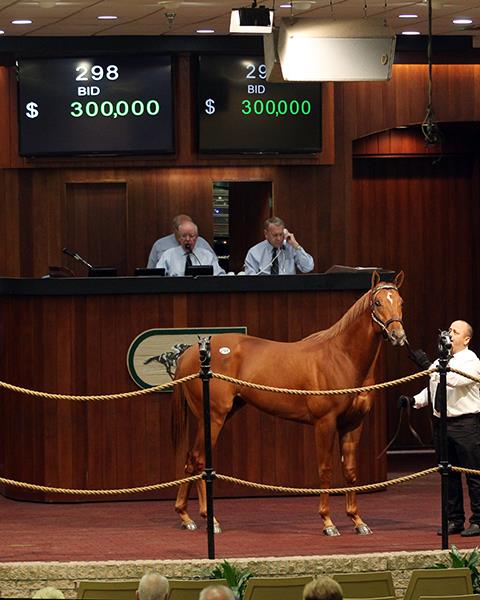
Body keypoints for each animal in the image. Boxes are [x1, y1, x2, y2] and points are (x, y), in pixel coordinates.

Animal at [172, 272, 404, 536]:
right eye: (377, 302)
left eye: (400, 302)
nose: (398, 335)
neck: (341, 357)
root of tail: (190, 353)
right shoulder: (325, 424)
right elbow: (325, 470)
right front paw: (328, 522)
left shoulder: (353, 425)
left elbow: (350, 471)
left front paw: (357, 520)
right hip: (213, 418)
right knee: (200, 460)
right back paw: (210, 519)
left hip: (215, 417)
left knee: (191, 459)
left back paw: (185, 516)